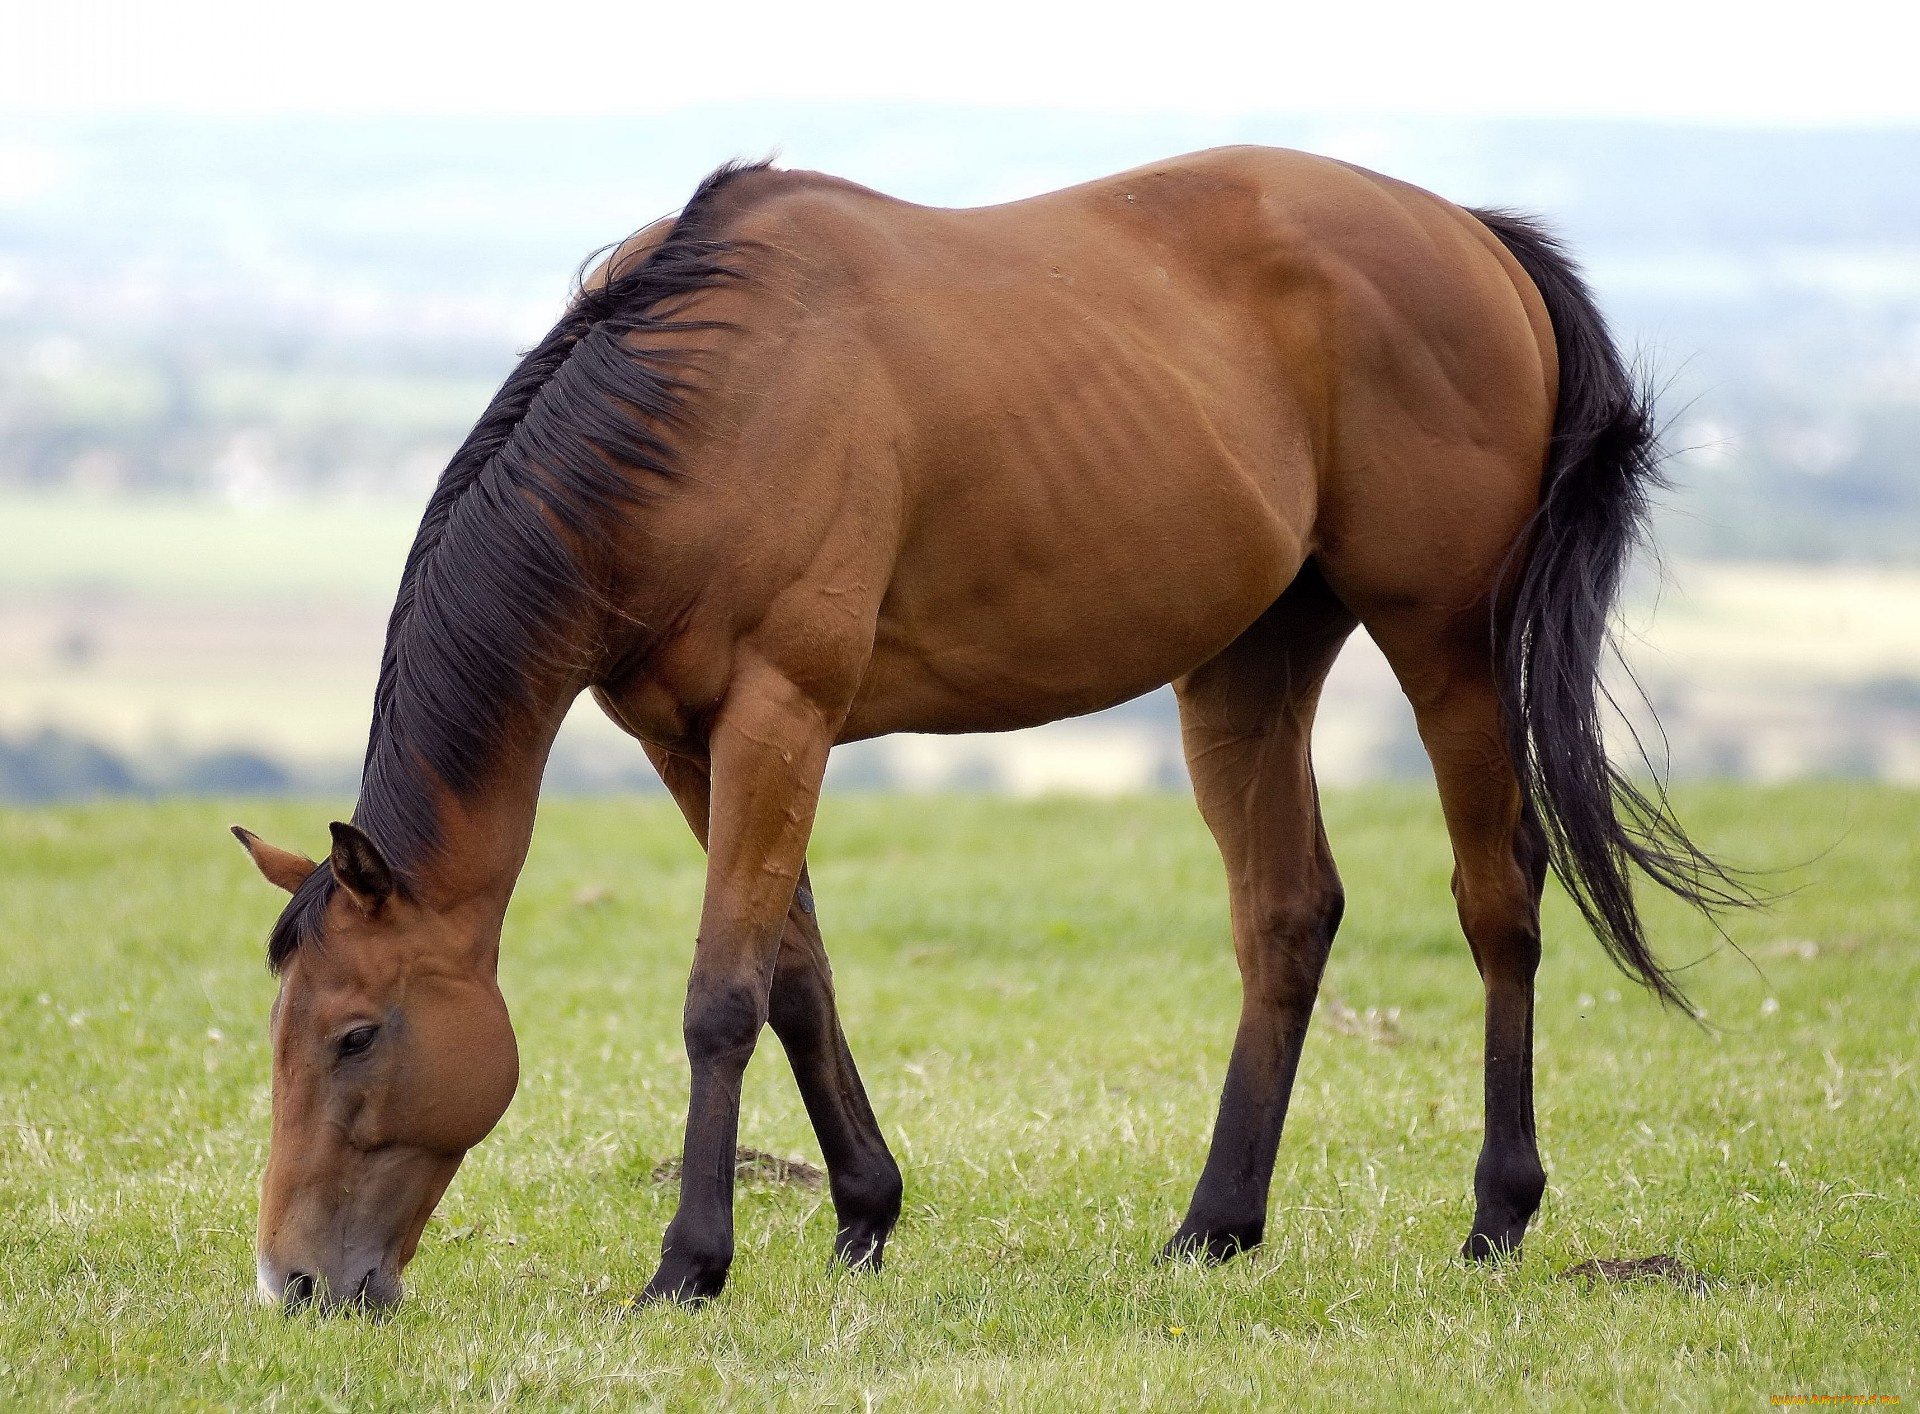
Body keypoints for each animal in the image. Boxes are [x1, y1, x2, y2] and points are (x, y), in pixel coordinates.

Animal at [228, 148, 1743, 1306]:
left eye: (355, 1035)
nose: (293, 1282)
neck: (700, 406)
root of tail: (1475, 237)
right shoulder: (687, 739)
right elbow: (796, 972)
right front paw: (863, 1210)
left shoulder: (780, 712)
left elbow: (723, 994)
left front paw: (692, 1262)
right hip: (1249, 664)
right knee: (1286, 914)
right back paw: (1214, 1225)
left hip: (1446, 647)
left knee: (1499, 899)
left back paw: (1498, 1212)